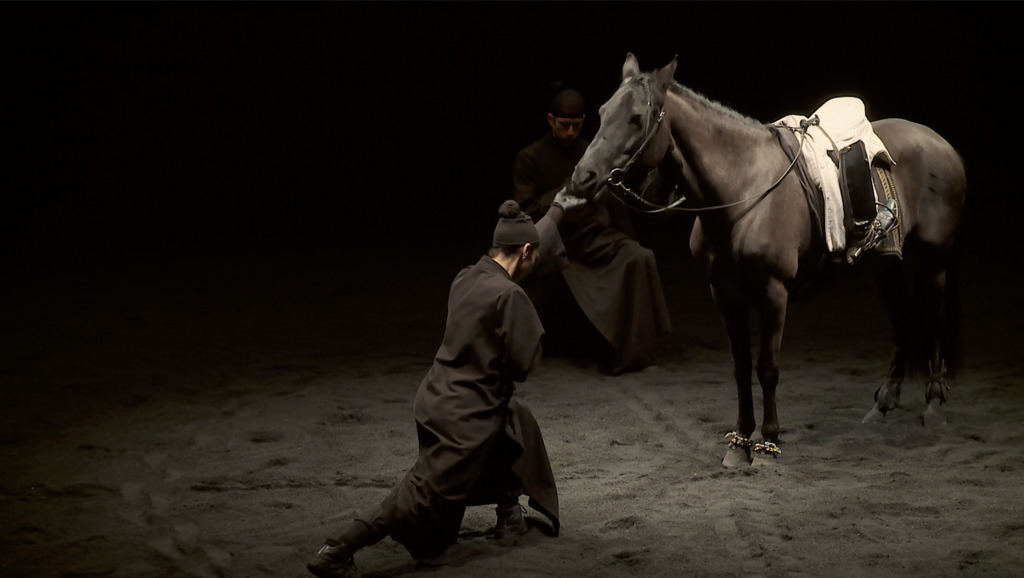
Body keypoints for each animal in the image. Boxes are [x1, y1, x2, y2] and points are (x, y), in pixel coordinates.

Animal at [573, 53, 962, 469]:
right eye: (602, 112)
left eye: (636, 118)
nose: (582, 177)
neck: (742, 189)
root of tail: (940, 143)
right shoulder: (725, 294)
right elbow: (741, 367)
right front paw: (739, 441)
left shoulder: (774, 293)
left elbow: (768, 368)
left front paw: (768, 444)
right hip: (886, 266)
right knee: (903, 322)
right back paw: (884, 403)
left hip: (933, 262)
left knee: (934, 321)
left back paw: (934, 405)